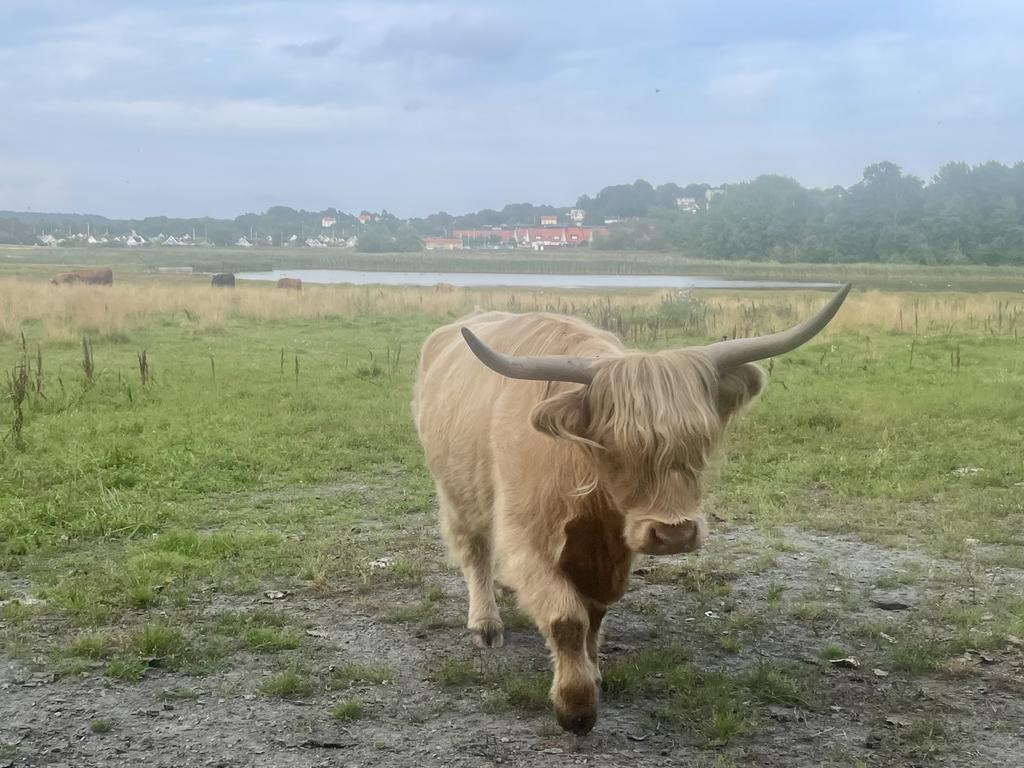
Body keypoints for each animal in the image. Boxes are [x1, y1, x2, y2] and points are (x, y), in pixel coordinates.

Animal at [411, 282, 851, 733]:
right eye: (615, 445)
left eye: (701, 440)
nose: (674, 533)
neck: (593, 507)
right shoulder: (527, 536)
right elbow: (567, 619)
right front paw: (576, 706)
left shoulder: (611, 552)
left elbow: (595, 613)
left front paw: (593, 670)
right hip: (459, 491)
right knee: (475, 552)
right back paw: (485, 624)